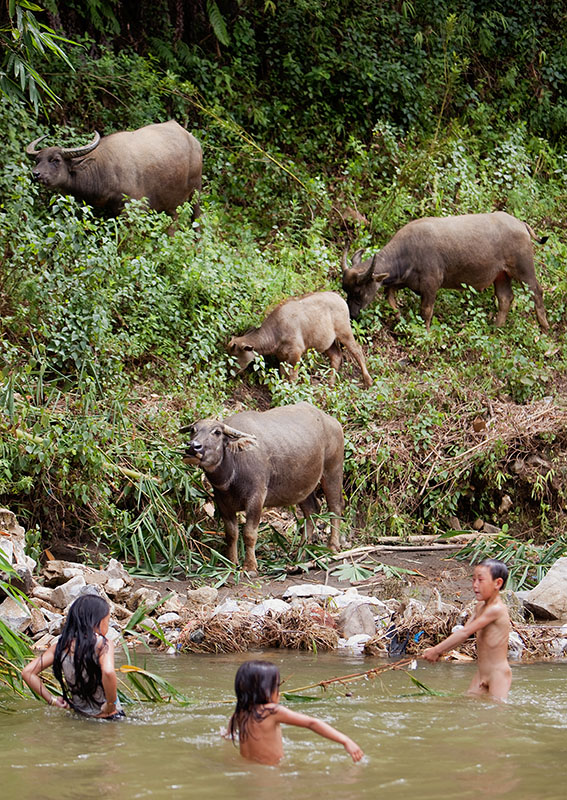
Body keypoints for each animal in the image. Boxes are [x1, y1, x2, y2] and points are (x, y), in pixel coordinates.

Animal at [27, 117, 204, 222]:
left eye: (56, 160)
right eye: (37, 160)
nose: (35, 174)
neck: (106, 172)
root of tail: (193, 141)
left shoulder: (133, 210)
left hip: (196, 191)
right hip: (171, 203)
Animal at [180, 404, 344, 572]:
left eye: (217, 432)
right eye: (193, 430)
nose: (193, 447)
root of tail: (333, 422)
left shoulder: (256, 498)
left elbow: (249, 533)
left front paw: (250, 567)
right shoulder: (222, 502)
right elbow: (231, 534)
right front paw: (231, 563)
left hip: (333, 470)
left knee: (335, 506)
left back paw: (332, 547)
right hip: (303, 487)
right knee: (312, 510)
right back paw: (300, 554)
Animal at [226, 292, 372, 390]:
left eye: (235, 357)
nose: (228, 373)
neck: (276, 333)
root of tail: (341, 298)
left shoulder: (296, 354)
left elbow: (293, 377)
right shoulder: (282, 358)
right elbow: (284, 374)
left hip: (344, 332)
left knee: (357, 350)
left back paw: (368, 380)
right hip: (327, 343)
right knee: (336, 356)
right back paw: (330, 384)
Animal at [342, 211, 552, 332]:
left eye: (359, 291)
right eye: (346, 290)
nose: (351, 314)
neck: (408, 252)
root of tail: (521, 224)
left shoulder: (431, 286)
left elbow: (426, 311)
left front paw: (425, 332)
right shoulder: (399, 282)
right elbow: (390, 299)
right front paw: (399, 318)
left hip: (523, 269)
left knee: (537, 291)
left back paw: (544, 326)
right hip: (501, 275)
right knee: (505, 298)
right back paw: (496, 328)